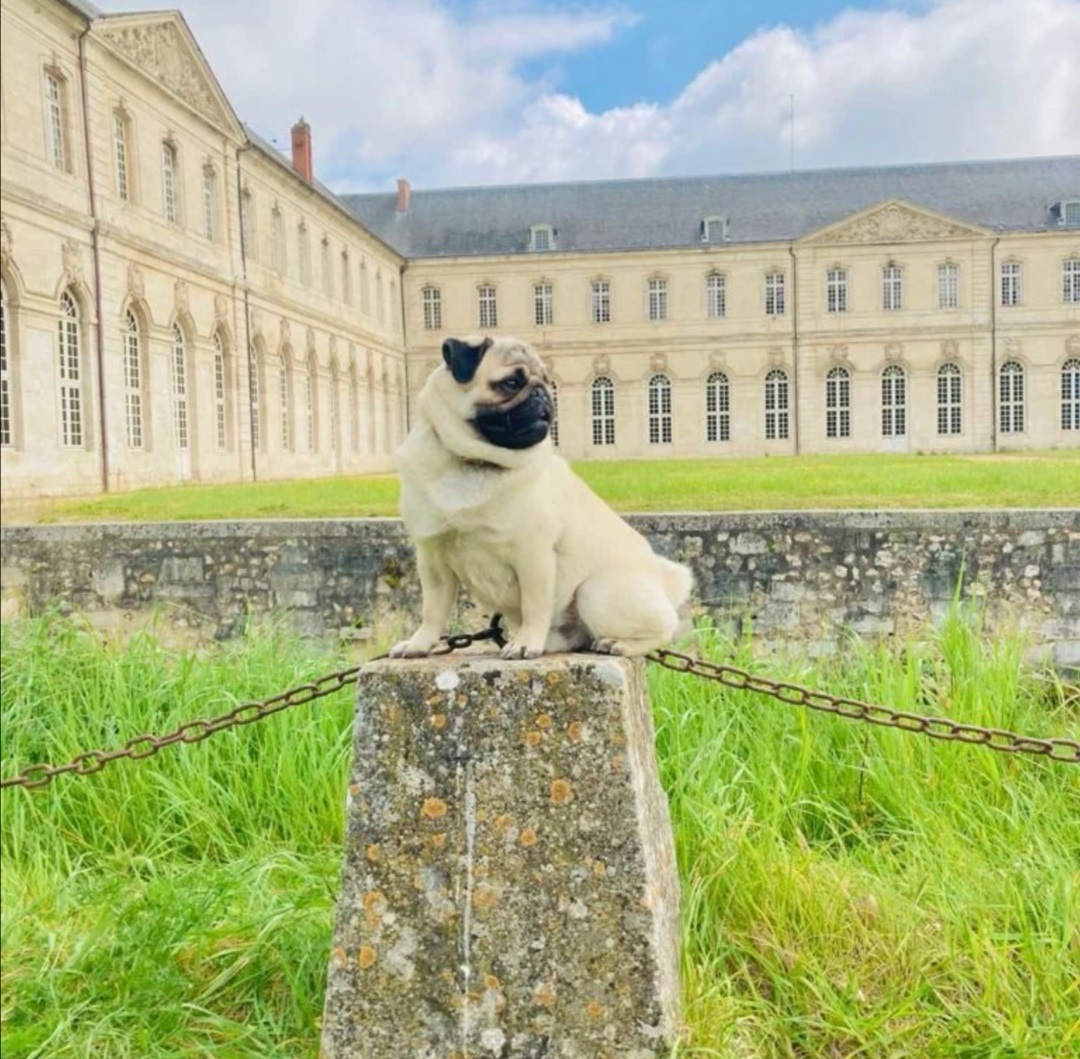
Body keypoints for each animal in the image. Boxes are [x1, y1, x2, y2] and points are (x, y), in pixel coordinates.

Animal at [388, 334, 691, 656]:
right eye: (511, 383)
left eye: (547, 381)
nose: (543, 394)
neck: (474, 461)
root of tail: (662, 581)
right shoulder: (432, 557)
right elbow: (432, 610)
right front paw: (420, 643)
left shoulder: (533, 554)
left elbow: (534, 605)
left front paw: (525, 644)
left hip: (594, 592)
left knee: (665, 631)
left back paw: (615, 643)